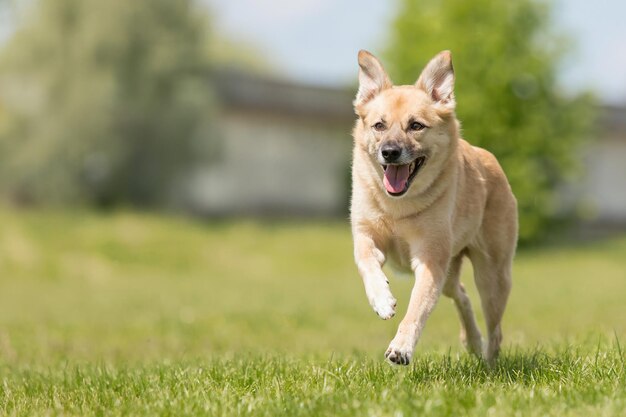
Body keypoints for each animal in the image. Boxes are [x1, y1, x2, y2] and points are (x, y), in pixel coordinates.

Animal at [348, 50, 516, 364]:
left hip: (492, 277)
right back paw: (472, 341)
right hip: (451, 273)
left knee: (496, 329)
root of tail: (491, 160)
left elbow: (417, 308)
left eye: (416, 126)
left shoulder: (430, 260)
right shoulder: (366, 236)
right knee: (461, 293)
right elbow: (366, 263)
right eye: (379, 125)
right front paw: (382, 300)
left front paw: (401, 348)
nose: (389, 152)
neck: (398, 206)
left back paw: (489, 363)